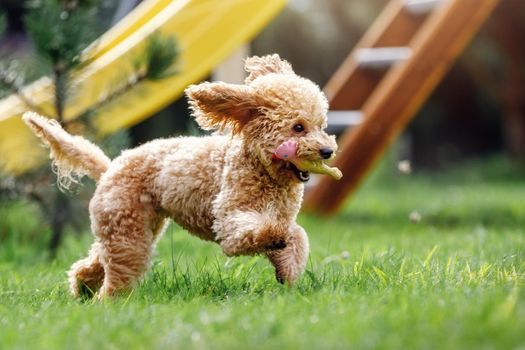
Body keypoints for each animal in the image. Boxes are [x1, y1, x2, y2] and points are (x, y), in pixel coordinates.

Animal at [22, 54, 342, 298]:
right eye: (298, 127)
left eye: (321, 125)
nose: (327, 151)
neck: (264, 170)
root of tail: (111, 167)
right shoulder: (230, 217)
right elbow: (259, 230)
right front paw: (275, 238)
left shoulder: (284, 215)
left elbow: (298, 237)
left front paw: (287, 271)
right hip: (127, 231)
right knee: (119, 273)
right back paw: (107, 301)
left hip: (130, 226)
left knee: (93, 262)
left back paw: (82, 289)